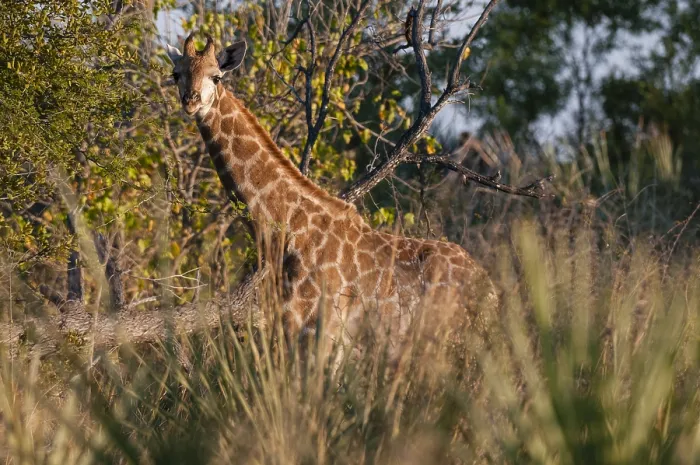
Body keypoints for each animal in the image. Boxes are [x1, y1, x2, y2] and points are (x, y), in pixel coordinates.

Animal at [166, 34, 498, 353]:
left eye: (216, 76)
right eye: (176, 74)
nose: (190, 101)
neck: (287, 233)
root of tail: (490, 289)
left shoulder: (319, 331)